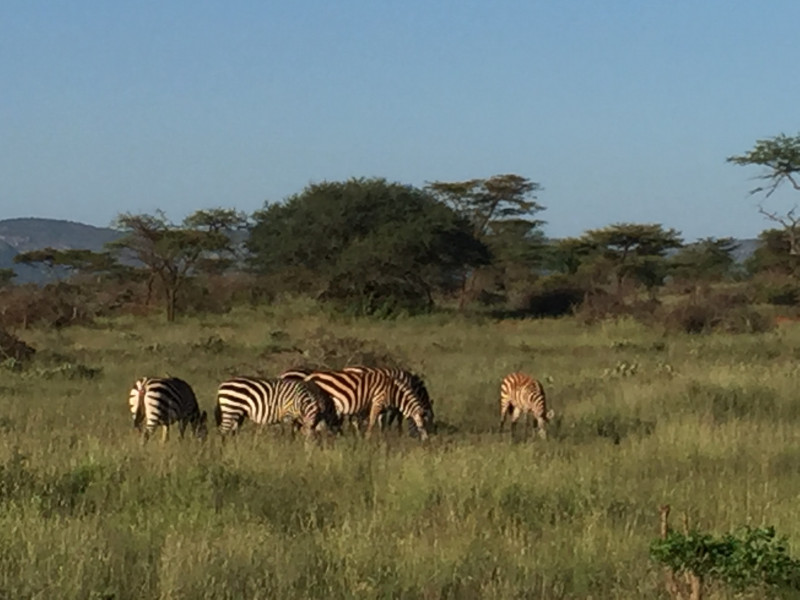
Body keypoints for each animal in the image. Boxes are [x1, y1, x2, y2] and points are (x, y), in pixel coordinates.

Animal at [282, 366, 432, 440]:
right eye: (423, 426)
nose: (427, 442)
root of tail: (309, 377)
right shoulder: (377, 402)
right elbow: (375, 422)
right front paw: (368, 439)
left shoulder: (383, 408)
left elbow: (382, 423)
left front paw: (383, 438)